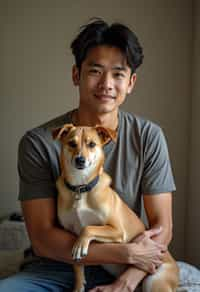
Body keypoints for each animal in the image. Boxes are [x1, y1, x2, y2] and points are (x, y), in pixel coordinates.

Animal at [52, 124, 179, 292]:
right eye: (72, 143)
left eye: (91, 144)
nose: (80, 160)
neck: (81, 187)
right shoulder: (70, 232)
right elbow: (77, 265)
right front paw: (79, 285)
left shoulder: (118, 230)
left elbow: (88, 228)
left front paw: (81, 243)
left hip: (154, 281)